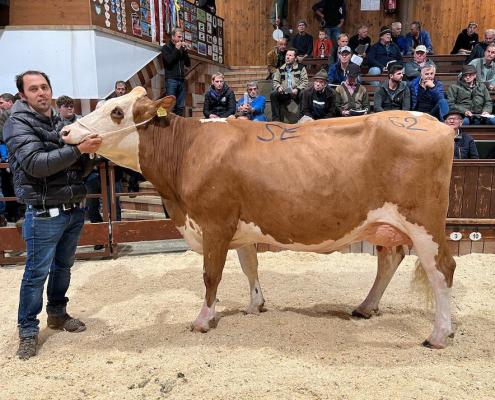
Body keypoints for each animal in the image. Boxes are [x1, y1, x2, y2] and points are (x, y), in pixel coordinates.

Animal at [62, 86, 458, 346]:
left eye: (117, 112)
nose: (67, 130)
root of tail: (435, 122)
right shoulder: (239, 224)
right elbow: (248, 265)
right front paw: (256, 305)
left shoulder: (215, 222)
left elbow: (211, 276)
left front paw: (203, 320)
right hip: (383, 224)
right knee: (390, 259)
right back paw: (365, 307)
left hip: (424, 222)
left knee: (442, 268)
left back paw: (439, 334)